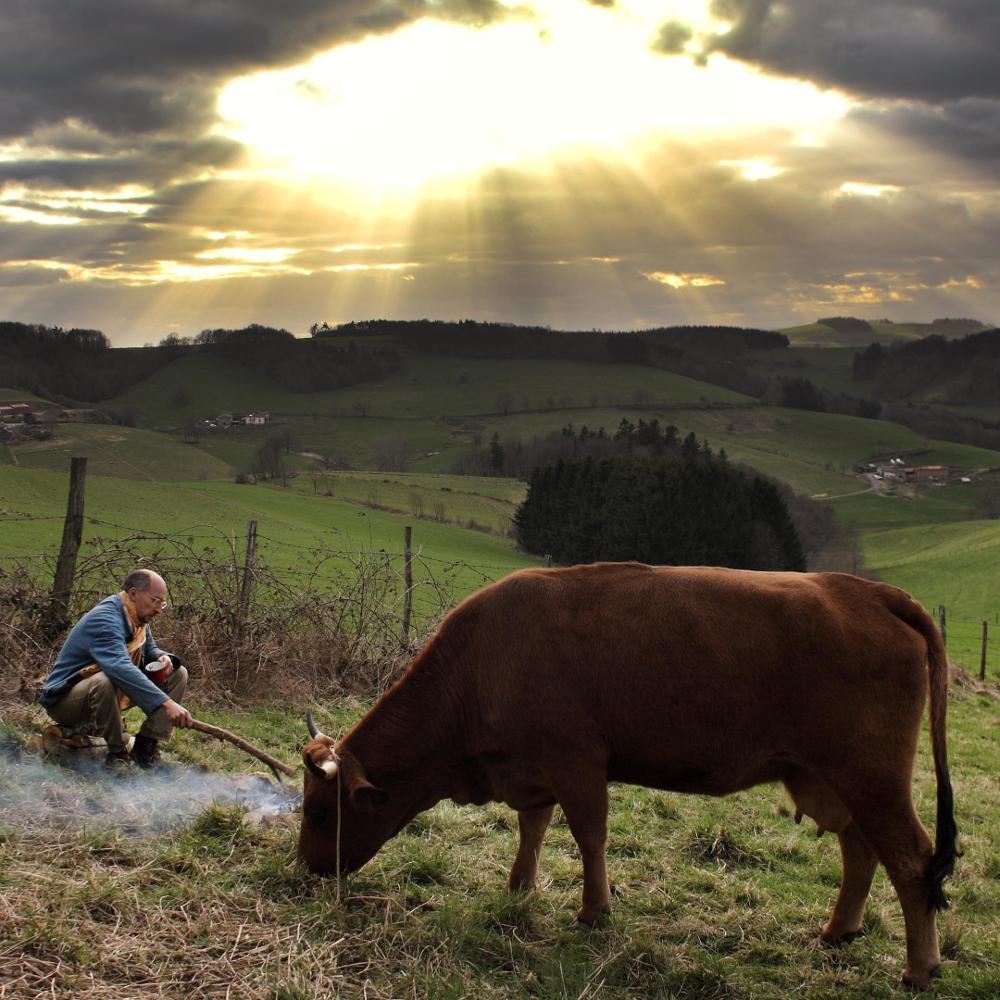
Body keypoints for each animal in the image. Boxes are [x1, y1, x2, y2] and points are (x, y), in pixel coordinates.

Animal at [298, 568, 960, 988]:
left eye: (320, 810)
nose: (307, 867)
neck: (482, 662)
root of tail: (869, 593)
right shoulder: (534, 770)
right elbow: (533, 828)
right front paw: (520, 887)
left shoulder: (578, 764)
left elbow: (589, 837)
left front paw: (594, 911)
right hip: (830, 779)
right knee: (860, 849)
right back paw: (838, 931)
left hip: (871, 777)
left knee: (910, 860)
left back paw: (918, 969)